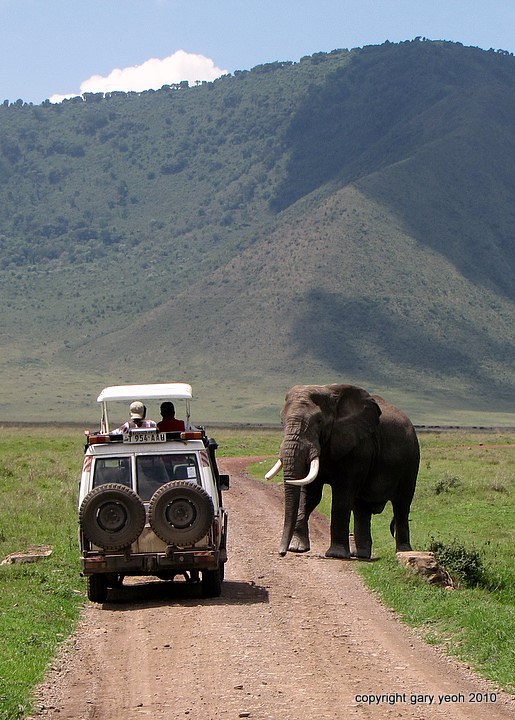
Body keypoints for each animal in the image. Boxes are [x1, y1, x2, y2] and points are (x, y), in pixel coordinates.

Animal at [266, 384, 420, 559]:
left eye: (319, 421)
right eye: (281, 421)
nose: (282, 553)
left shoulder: (358, 447)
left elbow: (342, 495)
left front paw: (336, 554)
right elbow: (311, 495)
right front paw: (297, 548)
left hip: (412, 460)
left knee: (402, 504)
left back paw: (403, 552)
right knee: (361, 508)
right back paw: (361, 555)